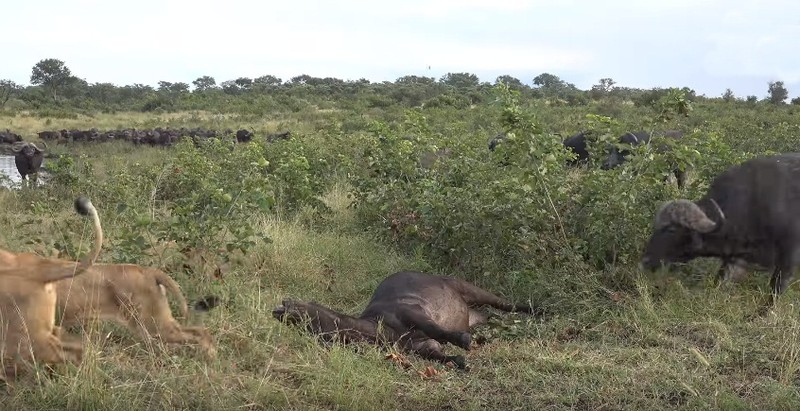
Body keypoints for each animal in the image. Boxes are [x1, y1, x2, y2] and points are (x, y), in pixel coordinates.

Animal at [272, 272, 540, 368]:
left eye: (300, 304)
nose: (280, 306)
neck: (379, 329)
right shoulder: (419, 346)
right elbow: (437, 353)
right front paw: (458, 360)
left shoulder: (411, 311)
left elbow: (436, 329)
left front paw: (463, 340)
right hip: (477, 314)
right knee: (490, 316)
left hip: (468, 288)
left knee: (504, 303)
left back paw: (536, 309)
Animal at [636, 153, 800, 304]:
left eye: (672, 229)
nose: (645, 261)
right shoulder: (736, 258)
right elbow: (719, 280)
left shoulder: (787, 261)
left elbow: (775, 292)